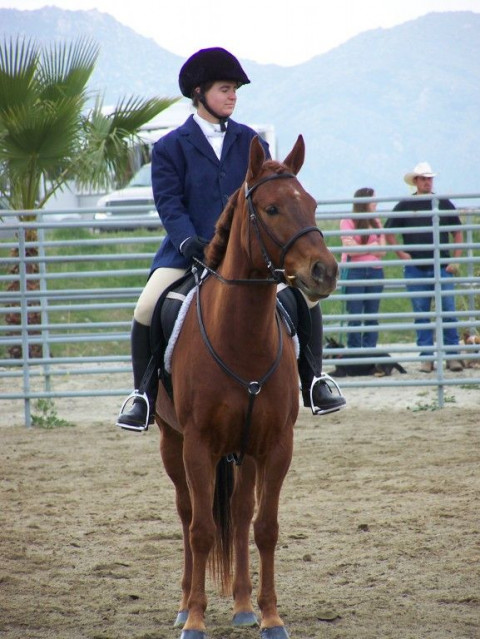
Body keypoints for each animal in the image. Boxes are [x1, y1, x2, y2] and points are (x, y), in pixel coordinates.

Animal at [157, 135, 338, 639]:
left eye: (312, 203)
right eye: (272, 209)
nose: (324, 271)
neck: (241, 339)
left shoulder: (275, 444)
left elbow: (265, 527)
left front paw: (271, 617)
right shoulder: (198, 445)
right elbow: (201, 530)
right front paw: (196, 621)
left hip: (245, 451)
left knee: (238, 516)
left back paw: (241, 605)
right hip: (172, 441)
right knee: (186, 513)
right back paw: (183, 604)